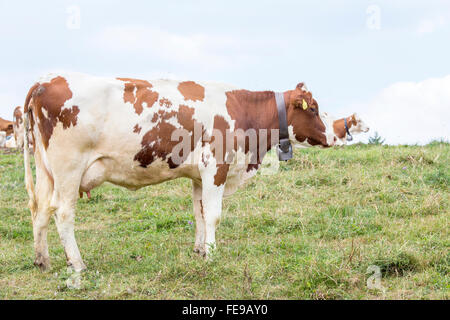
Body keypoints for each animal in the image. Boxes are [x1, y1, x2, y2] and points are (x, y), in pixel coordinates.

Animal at [22, 72, 336, 270]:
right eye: (314, 108)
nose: (335, 135)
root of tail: (46, 80)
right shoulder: (216, 168)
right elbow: (214, 215)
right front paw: (212, 254)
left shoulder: (199, 175)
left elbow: (199, 213)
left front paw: (199, 250)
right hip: (68, 169)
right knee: (63, 214)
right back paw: (77, 263)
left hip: (46, 170)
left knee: (40, 211)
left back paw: (42, 260)